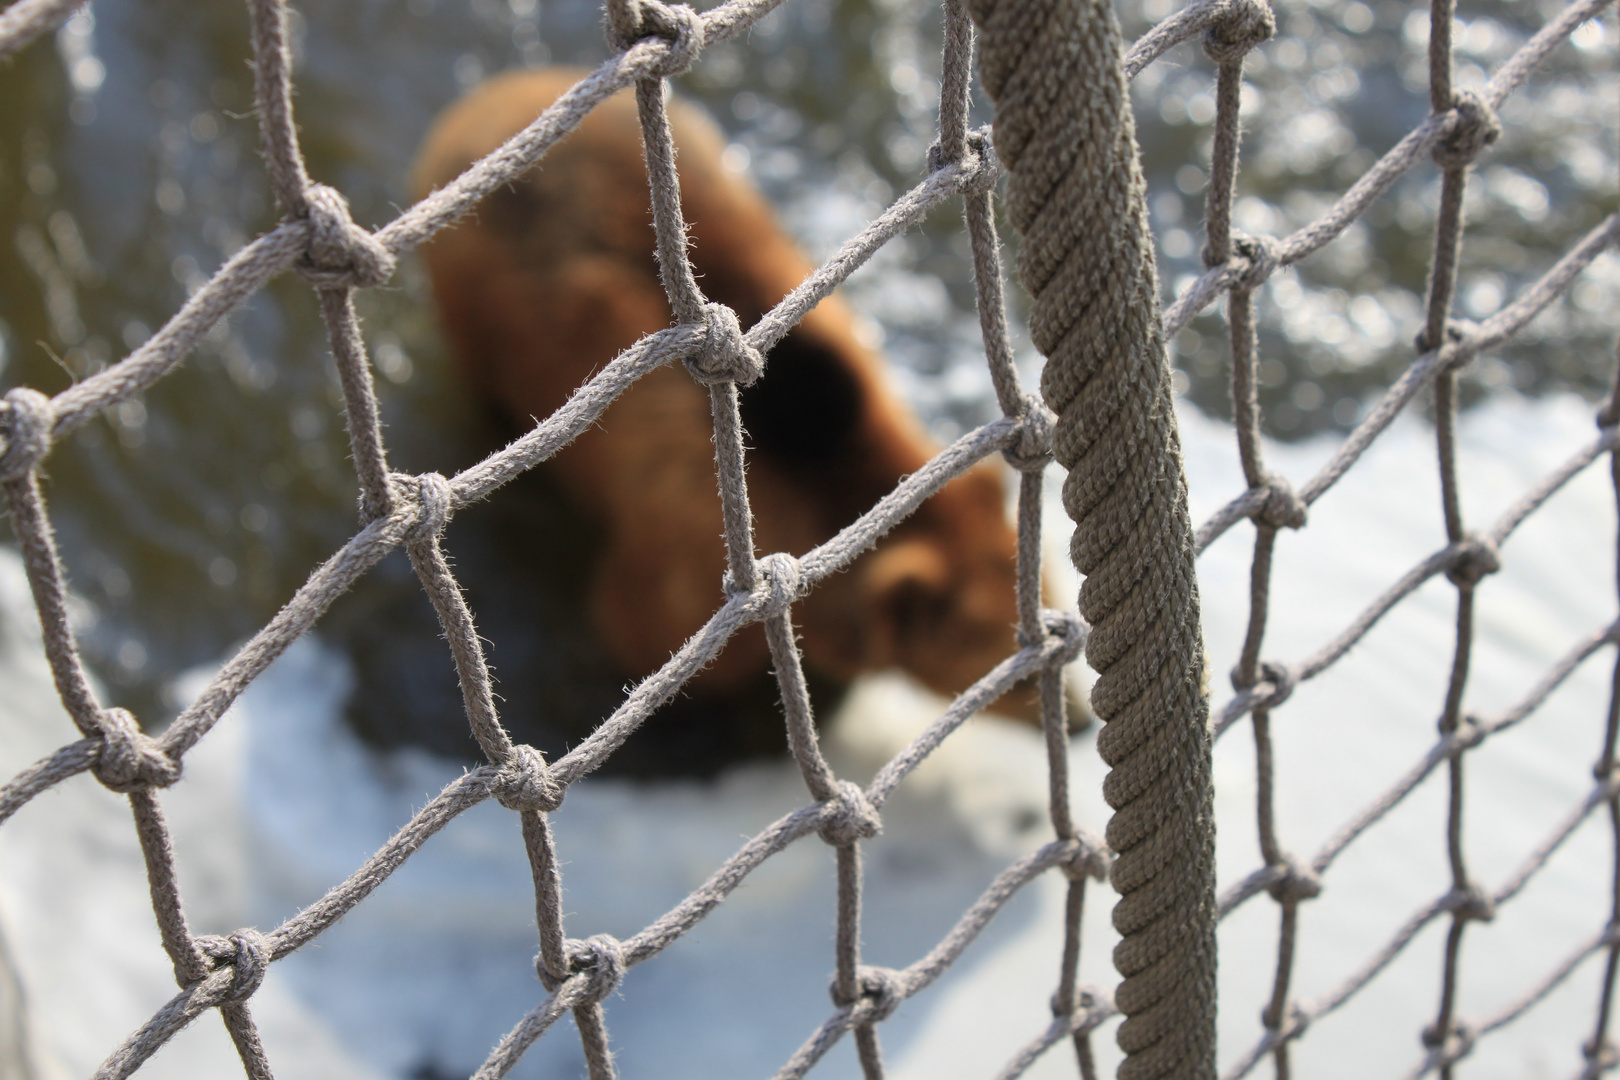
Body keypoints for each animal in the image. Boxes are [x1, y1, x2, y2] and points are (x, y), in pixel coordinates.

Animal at [408, 69, 1062, 777]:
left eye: (1046, 587)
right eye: (1007, 667)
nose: (1077, 718)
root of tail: (488, 98)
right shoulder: (680, 550)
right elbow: (640, 637)